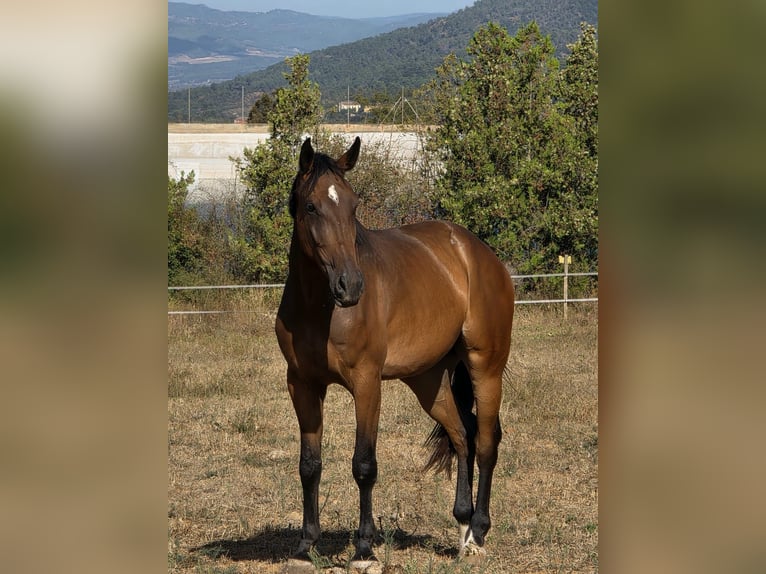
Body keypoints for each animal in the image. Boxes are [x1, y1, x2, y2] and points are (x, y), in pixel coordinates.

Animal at [275, 136, 515, 570]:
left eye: (353, 205)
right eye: (311, 206)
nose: (351, 286)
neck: (321, 309)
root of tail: (477, 253)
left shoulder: (367, 384)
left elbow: (364, 465)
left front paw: (364, 550)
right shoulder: (301, 385)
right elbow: (309, 465)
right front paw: (305, 547)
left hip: (485, 367)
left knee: (487, 441)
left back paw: (478, 534)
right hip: (428, 381)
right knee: (462, 436)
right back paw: (462, 525)